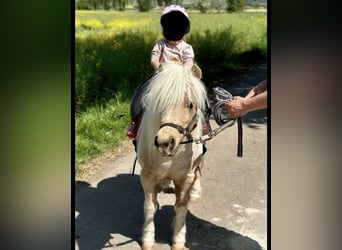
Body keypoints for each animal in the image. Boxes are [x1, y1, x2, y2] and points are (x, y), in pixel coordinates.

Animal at [136, 61, 208, 249]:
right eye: (160, 102)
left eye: (190, 104)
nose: (164, 142)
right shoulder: (147, 176)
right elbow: (149, 207)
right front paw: (148, 239)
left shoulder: (185, 178)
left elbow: (181, 208)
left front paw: (178, 239)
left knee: (199, 170)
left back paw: (196, 193)